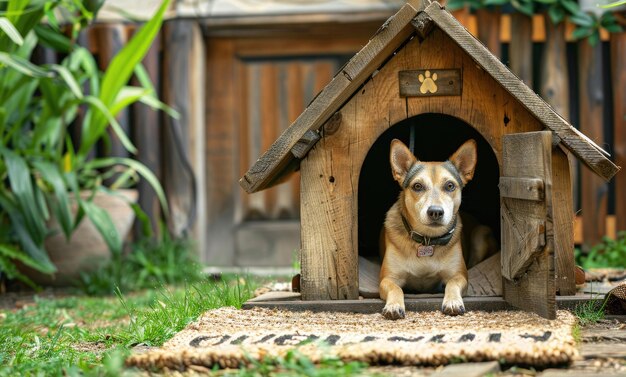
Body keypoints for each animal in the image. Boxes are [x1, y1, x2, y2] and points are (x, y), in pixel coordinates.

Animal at [378, 137, 476, 318]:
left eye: (450, 186)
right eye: (417, 186)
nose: (435, 212)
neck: (427, 239)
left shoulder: (459, 275)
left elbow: (452, 283)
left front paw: (452, 301)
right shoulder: (387, 279)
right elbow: (396, 288)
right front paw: (394, 305)